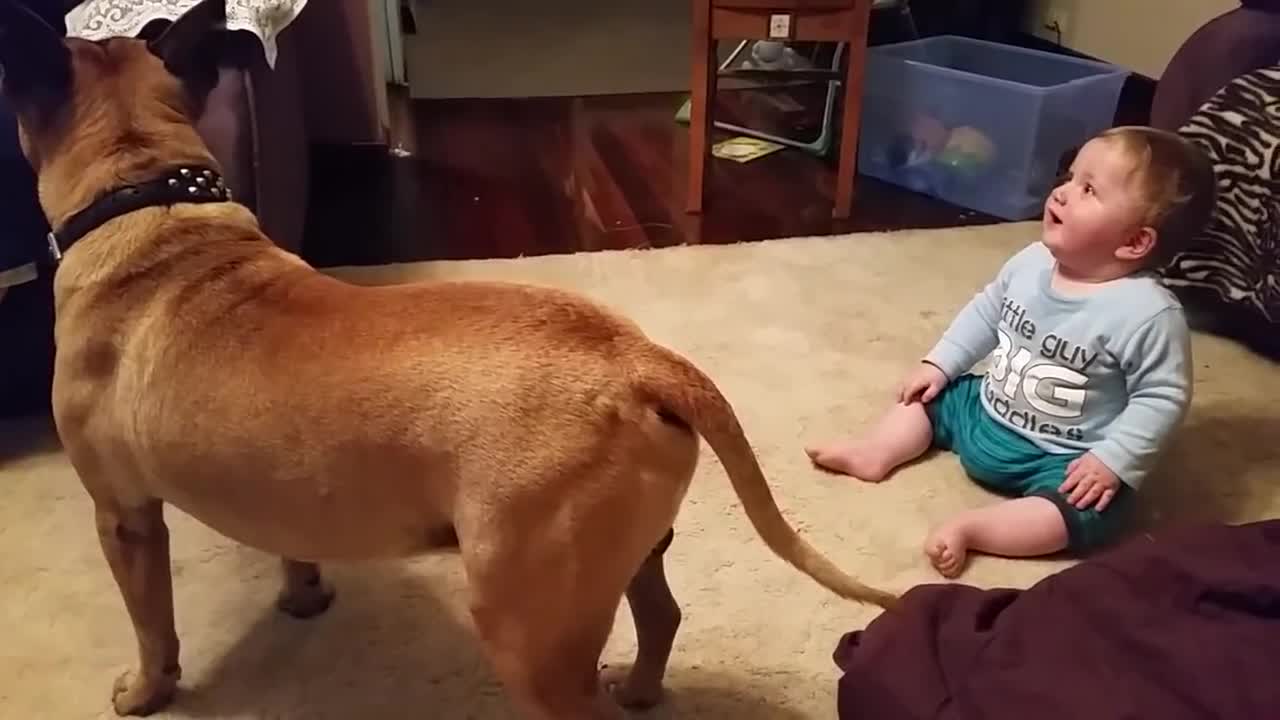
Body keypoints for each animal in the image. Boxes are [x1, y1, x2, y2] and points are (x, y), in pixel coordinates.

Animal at [2, 2, 901, 712]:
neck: (148, 198)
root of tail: (637, 357)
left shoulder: (123, 515)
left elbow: (153, 624)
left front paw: (144, 691)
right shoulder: (267, 490)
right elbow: (287, 540)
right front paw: (302, 594)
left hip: (524, 625)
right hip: (628, 555)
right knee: (661, 617)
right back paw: (644, 689)